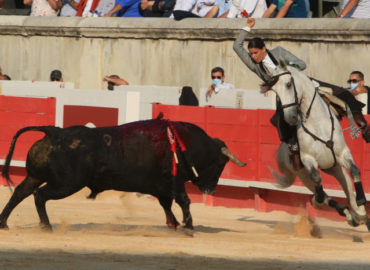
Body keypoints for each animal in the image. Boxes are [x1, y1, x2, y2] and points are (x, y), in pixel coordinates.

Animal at [0, 119, 246, 233]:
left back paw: (4, 223)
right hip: (66, 184)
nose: (210, 188)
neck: (184, 143)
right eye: (220, 163)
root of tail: (54, 131)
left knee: (20, 193)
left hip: (35, 176)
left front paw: (174, 224)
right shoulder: (175, 182)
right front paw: (188, 225)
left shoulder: (161, 186)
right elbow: (183, 201)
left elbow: (166, 204)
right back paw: (47, 227)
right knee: (39, 196)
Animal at [268, 62, 368, 230]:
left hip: (337, 169)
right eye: (274, 91)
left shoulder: (343, 153)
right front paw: (318, 202)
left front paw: (361, 205)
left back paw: (360, 214)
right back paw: (345, 213)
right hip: (303, 175)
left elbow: (355, 170)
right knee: (321, 192)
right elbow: (317, 179)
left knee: (350, 196)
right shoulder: (308, 160)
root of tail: (280, 150)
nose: (290, 117)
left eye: (288, 84)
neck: (318, 124)